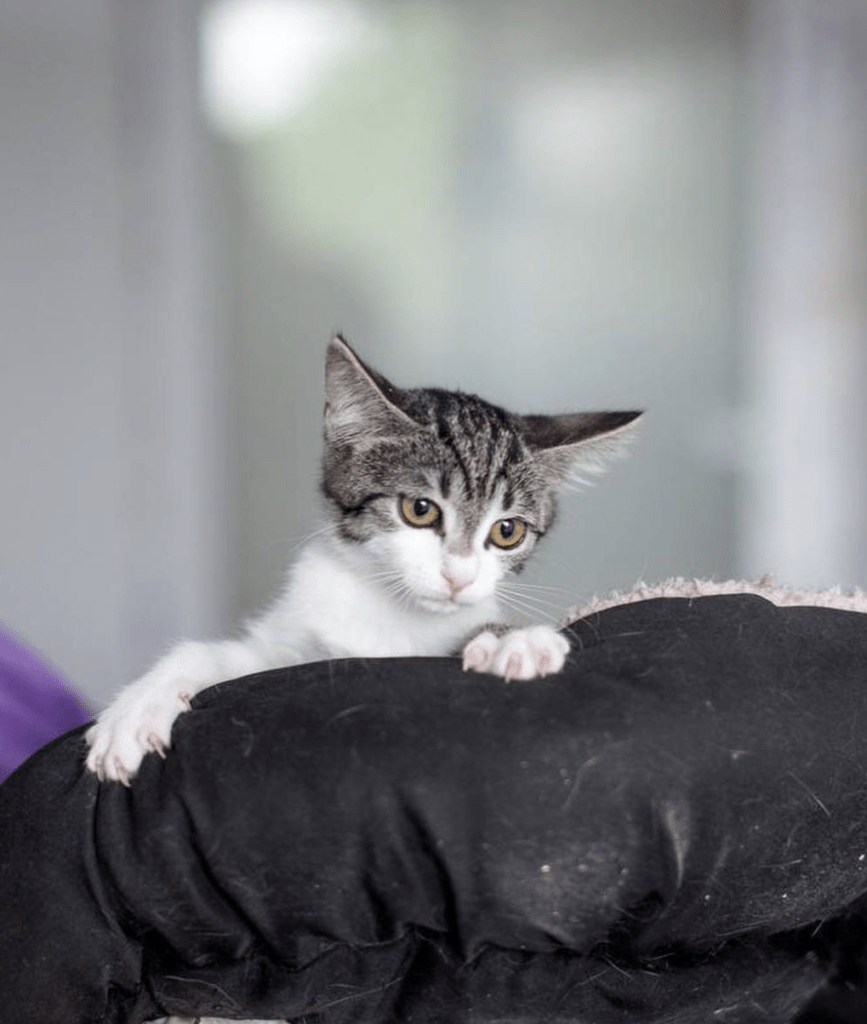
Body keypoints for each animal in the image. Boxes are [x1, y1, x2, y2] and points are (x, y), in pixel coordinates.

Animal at [86, 337, 642, 782]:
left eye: (507, 532)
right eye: (420, 509)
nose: (458, 576)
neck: (389, 611)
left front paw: (517, 641)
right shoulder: (294, 645)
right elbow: (225, 657)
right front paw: (138, 705)